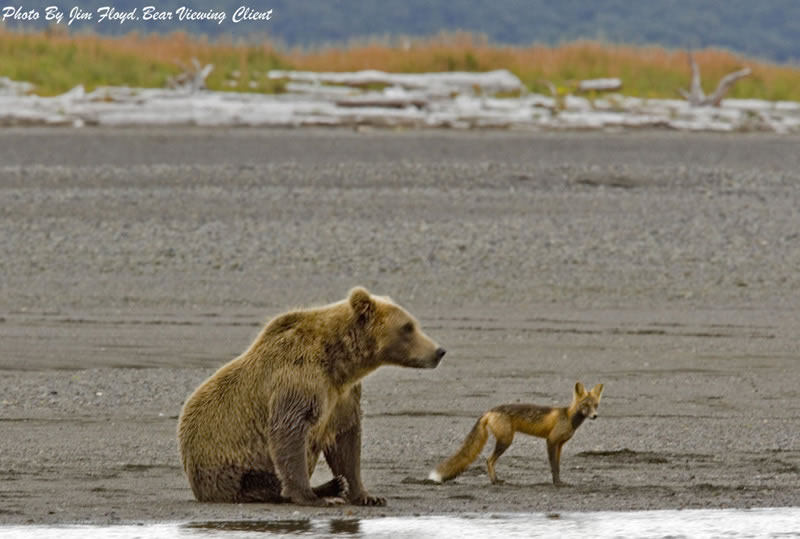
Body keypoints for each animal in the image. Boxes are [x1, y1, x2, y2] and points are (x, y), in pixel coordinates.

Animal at [177, 287, 446, 506]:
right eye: (407, 327)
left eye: (413, 324)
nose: (438, 351)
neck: (339, 363)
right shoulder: (299, 380)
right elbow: (290, 432)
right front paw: (311, 497)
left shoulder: (343, 395)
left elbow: (346, 441)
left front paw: (366, 495)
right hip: (230, 468)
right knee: (259, 484)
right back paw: (324, 490)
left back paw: (335, 485)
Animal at [428, 382, 603, 486]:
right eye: (585, 405)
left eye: (595, 405)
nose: (595, 416)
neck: (567, 416)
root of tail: (490, 411)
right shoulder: (551, 441)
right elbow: (554, 466)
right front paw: (556, 483)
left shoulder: (559, 445)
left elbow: (558, 466)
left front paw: (560, 482)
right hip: (506, 441)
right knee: (489, 460)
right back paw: (495, 481)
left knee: (489, 461)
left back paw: (496, 480)